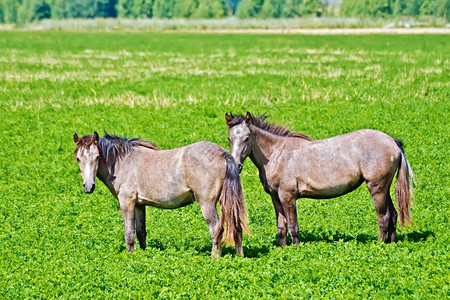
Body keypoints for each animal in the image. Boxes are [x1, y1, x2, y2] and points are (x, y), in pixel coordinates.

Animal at [73, 132, 250, 258]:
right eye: (78, 158)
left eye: (97, 157)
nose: (88, 187)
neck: (123, 162)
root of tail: (223, 153)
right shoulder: (139, 204)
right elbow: (141, 233)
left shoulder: (127, 203)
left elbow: (129, 234)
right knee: (236, 226)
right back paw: (239, 257)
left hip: (207, 204)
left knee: (216, 230)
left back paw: (215, 258)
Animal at [227, 111, 414, 245]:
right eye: (229, 138)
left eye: (247, 138)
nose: (236, 165)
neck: (277, 154)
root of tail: (393, 142)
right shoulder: (276, 198)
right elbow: (281, 227)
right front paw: (283, 249)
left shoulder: (288, 197)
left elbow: (293, 227)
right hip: (385, 188)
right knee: (393, 215)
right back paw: (391, 243)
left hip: (377, 188)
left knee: (383, 217)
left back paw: (379, 245)